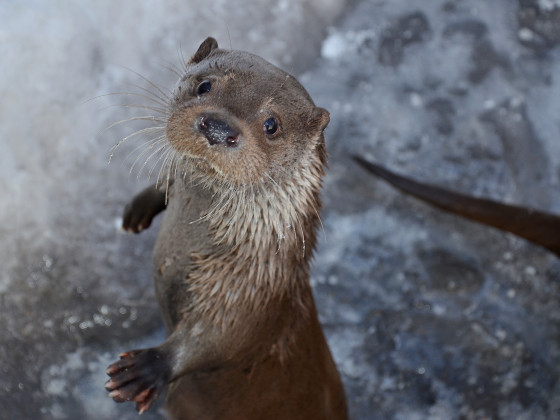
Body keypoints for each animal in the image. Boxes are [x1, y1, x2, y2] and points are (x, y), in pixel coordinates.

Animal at [104, 37, 346, 420]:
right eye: (204, 86)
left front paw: (144, 369)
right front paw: (142, 205)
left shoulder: (246, 295)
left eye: (272, 124)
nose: (218, 128)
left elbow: (216, 338)